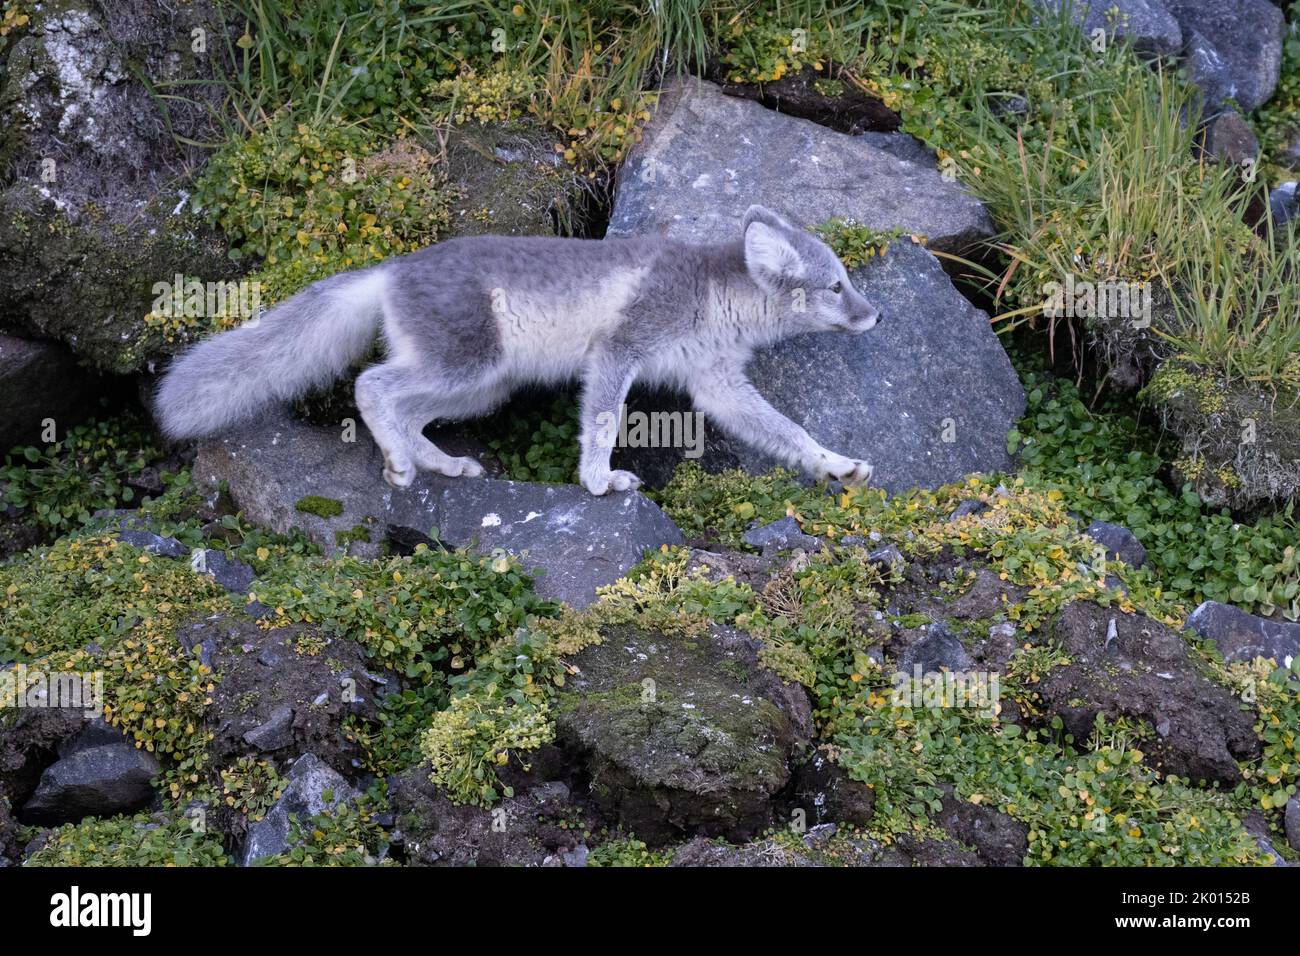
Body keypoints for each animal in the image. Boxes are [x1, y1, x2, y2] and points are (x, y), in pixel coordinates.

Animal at [152, 205, 883, 496]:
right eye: (836, 285)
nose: (875, 315)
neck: (711, 297)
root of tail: (389, 269)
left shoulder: (717, 384)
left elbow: (787, 431)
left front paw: (837, 464)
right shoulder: (619, 348)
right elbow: (603, 422)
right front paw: (598, 480)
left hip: (481, 387)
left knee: (405, 409)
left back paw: (442, 465)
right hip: (466, 365)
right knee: (371, 387)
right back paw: (402, 465)